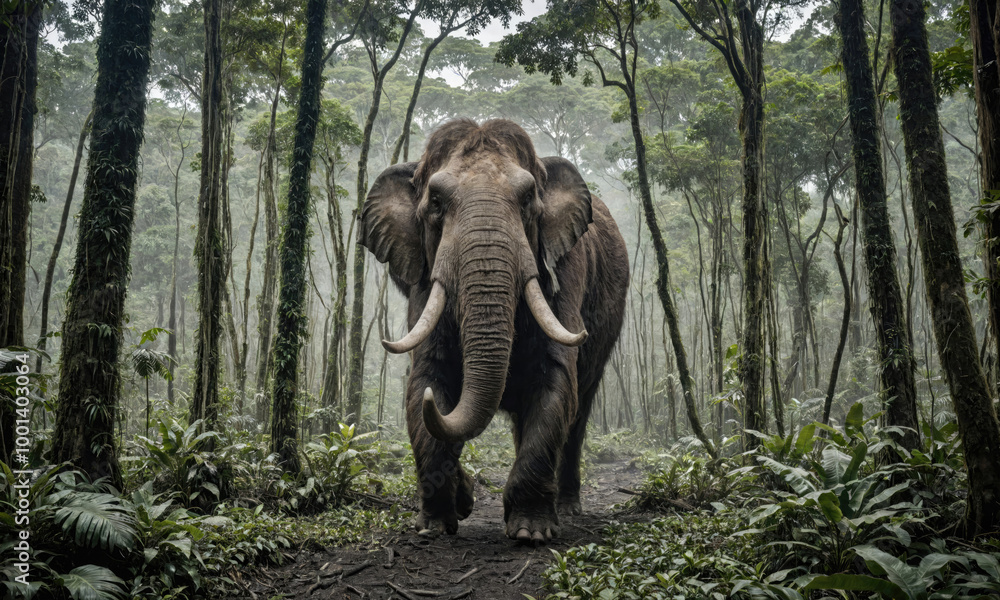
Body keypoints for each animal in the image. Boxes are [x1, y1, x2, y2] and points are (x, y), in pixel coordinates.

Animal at [360, 118, 628, 543]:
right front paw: (437, 523)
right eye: (436, 202)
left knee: (579, 410)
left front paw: (531, 532)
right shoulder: (423, 281)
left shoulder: (564, 272)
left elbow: (554, 381)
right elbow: (426, 382)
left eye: (528, 199)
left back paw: (568, 508)